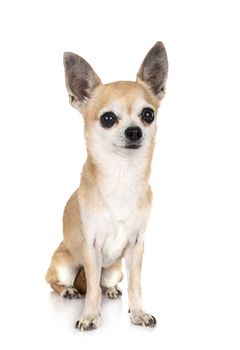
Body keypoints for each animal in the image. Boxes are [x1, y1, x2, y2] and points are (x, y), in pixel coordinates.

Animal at [45, 41, 169, 330]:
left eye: (148, 114)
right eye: (108, 119)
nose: (134, 131)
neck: (121, 175)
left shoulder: (136, 247)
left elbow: (135, 285)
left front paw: (138, 313)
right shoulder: (91, 248)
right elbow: (91, 289)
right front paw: (90, 315)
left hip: (114, 270)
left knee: (104, 284)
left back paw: (110, 291)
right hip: (65, 264)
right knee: (58, 281)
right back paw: (69, 290)